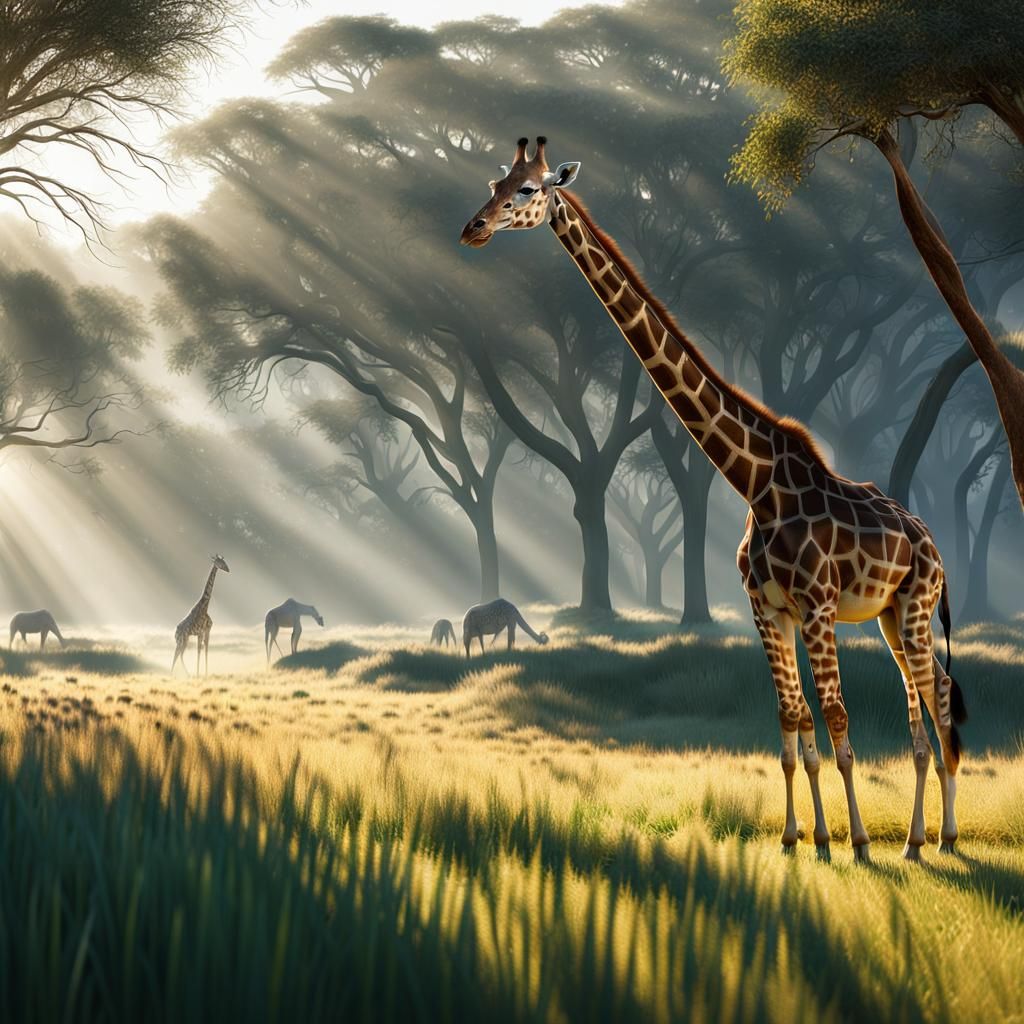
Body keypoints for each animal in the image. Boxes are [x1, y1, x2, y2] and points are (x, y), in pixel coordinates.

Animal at [461, 137, 967, 863]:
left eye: (528, 191)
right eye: (495, 183)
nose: (473, 229)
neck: (753, 479)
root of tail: (933, 541)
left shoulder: (815, 606)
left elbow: (836, 722)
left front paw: (858, 843)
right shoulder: (768, 609)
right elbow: (791, 723)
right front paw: (801, 839)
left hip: (917, 604)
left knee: (938, 690)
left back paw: (940, 837)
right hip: (891, 616)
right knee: (921, 697)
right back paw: (919, 840)